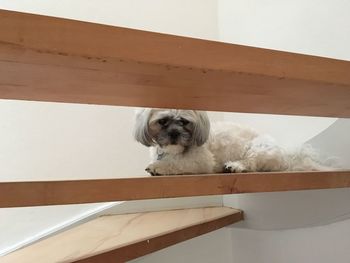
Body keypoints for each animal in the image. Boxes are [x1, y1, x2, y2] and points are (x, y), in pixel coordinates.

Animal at [133, 108, 330, 176]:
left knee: (252, 164)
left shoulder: (201, 161)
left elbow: (177, 163)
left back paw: (235, 166)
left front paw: (158, 167)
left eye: (184, 121)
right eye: (162, 121)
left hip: (258, 148)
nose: (174, 133)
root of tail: (286, 156)